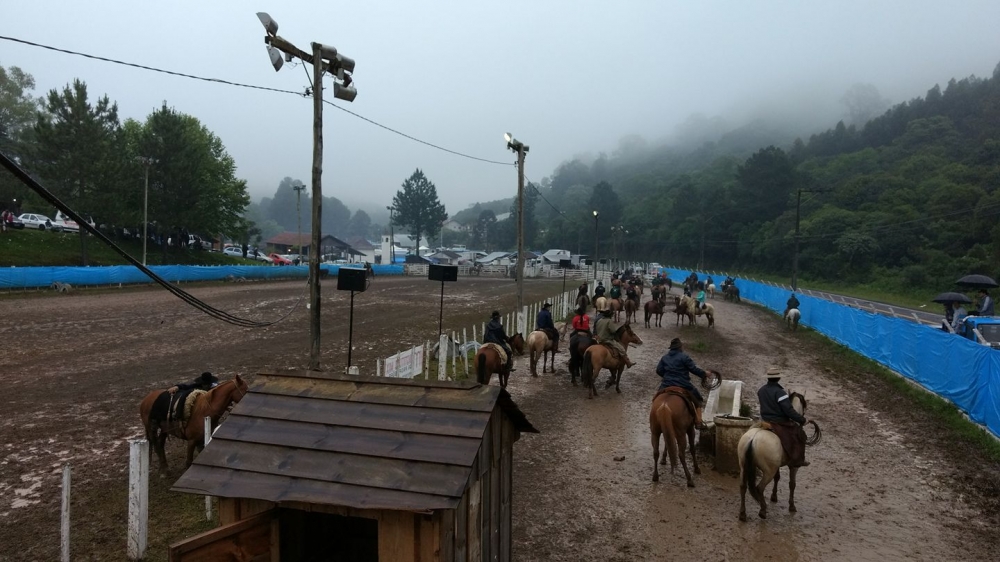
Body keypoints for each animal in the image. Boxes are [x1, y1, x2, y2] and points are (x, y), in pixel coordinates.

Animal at [736, 392, 812, 520]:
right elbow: (792, 484)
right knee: (759, 488)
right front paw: (792, 506)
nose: (803, 419)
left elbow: (778, 477)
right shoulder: (794, 466)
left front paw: (774, 496)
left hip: (743, 467)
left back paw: (742, 513)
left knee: (742, 486)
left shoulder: (778, 465)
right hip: (768, 471)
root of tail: (753, 439)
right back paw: (762, 510)